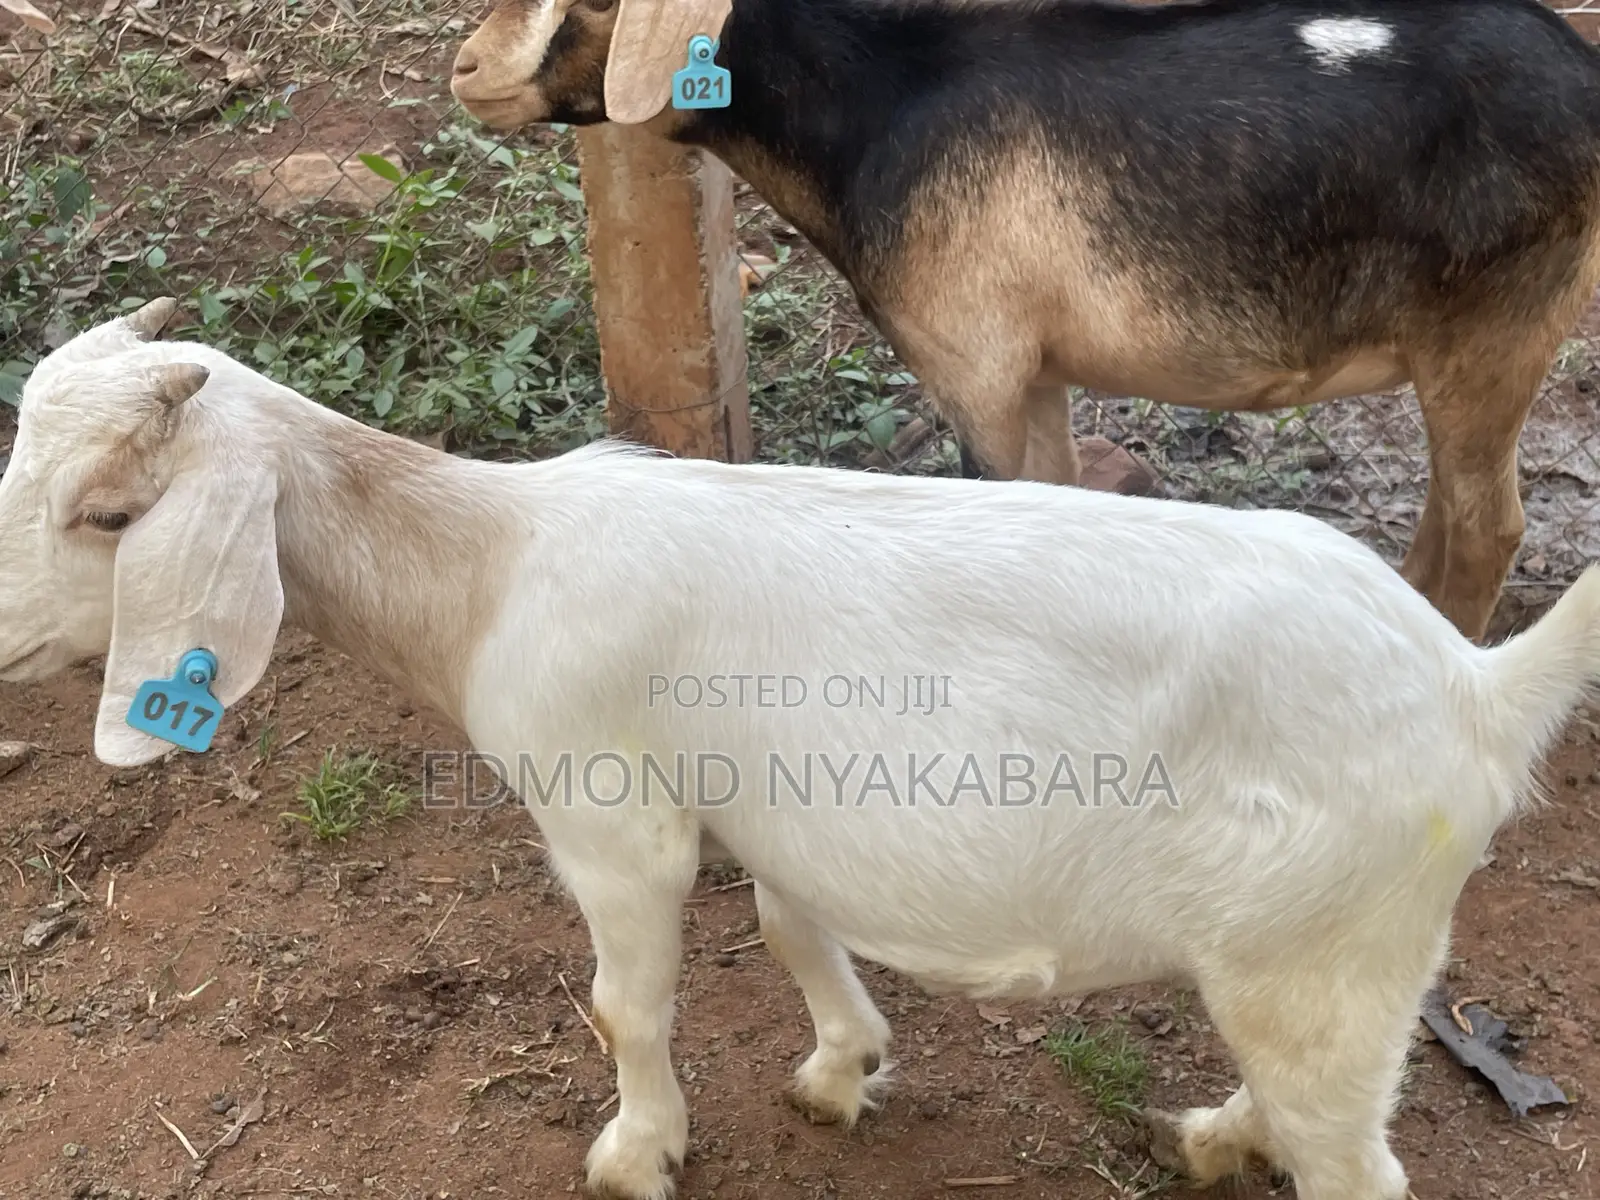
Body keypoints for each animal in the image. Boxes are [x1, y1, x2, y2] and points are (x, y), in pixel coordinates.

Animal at [4, 299, 1600, 1200]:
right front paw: (842, 1068)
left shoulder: (613, 814)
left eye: (108, 512)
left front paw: (637, 1153)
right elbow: (787, 923)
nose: (3, 633)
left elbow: (623, 1006)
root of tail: (1478, 686)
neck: (491, 564)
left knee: (1356, 1163)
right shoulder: (772, 797)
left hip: (1324, 954)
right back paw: (1218, 1136)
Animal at [449, 0, 1600, 644]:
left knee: (1488, 528)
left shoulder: (978, 366)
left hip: (1493, 328)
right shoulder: (1037, 369)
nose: (467, 69)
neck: (875, 106)